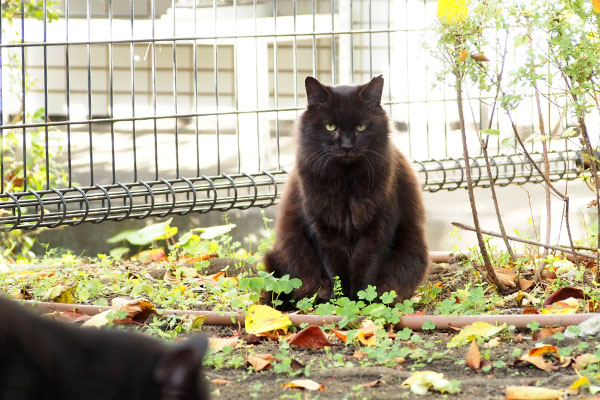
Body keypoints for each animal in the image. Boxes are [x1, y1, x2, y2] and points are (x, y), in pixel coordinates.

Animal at [264, 75, 428, 306]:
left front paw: (361, 301)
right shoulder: (324, 229)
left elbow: (365, 271)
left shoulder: (376, 228)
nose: (347, 146)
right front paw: (340, 301)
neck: (346, 181)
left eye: (361, 127)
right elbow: (336, 270)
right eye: (330, 126)